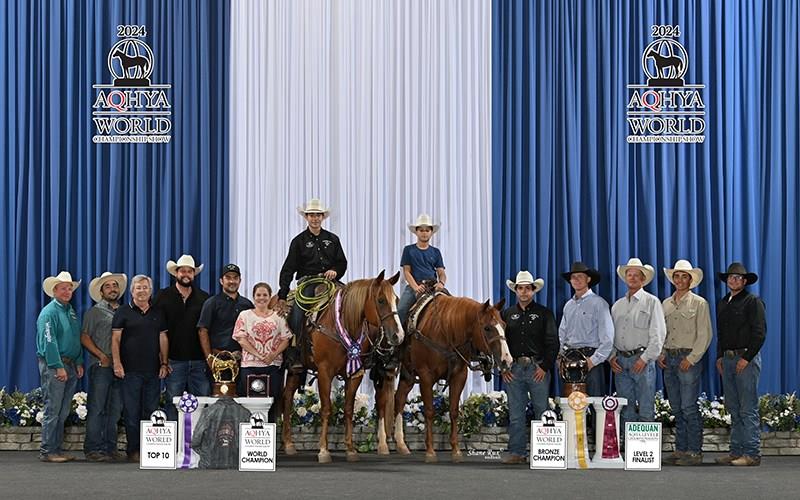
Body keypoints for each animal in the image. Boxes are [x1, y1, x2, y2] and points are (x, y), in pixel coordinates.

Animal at [282, 272, 406, 462]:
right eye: (381, 300)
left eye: (396, 299)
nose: (398, 335)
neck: (342, 323)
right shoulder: (325, 372)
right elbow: (326, 409)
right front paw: (323, 450)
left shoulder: (355, 374)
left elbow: (348, 409)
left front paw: (350, 449)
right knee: (287, 399)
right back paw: (288, 444)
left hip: (297, 371)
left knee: (287, 396)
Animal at [394, 294, 512, 462]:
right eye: (487, 328)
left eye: (504, 325)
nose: (506, 360)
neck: (444, 332)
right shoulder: (425, 376)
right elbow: (429, 411)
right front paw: (430, 451)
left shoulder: (459, 376)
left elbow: (454, 411)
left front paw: (456, 450)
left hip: (407, 374)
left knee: (399, 397)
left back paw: (401, 445)